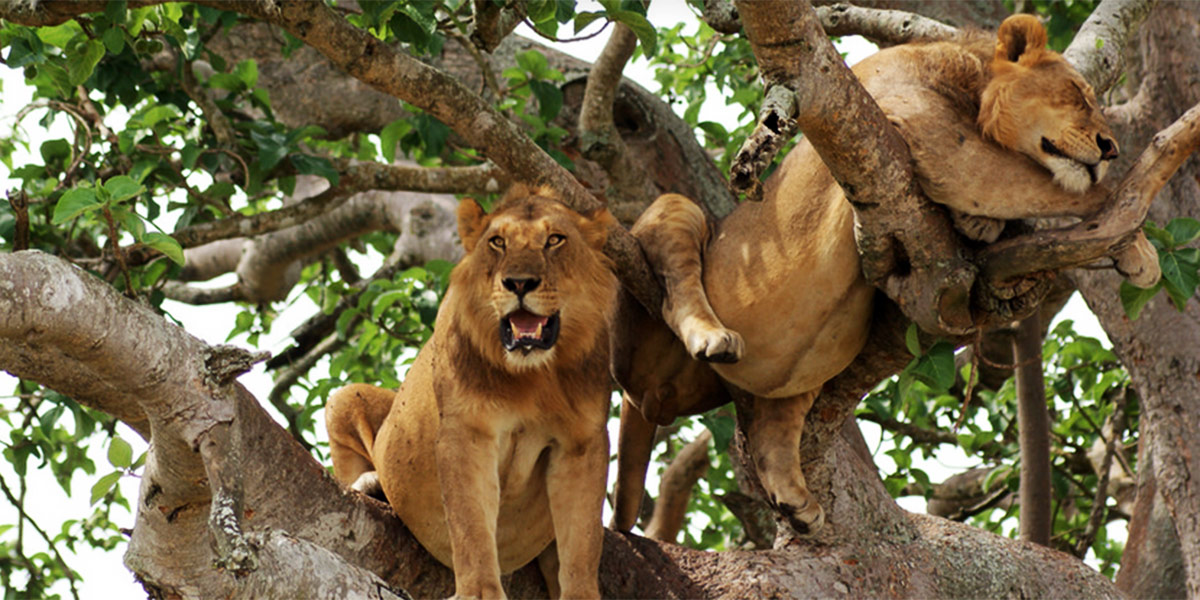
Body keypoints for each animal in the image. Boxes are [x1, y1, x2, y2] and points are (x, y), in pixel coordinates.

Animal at [324, 184, 614, 597]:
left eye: (555, 240)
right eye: (498, 242)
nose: (519, 283)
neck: (534, 376)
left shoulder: (582, 442)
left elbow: (582, 541)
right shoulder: (467, 431)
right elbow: (470, 524)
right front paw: (479, 592)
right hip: (344, 398)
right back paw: (371, 483)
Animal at [614, 15, 1156, 540]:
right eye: (1078, 94)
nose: (1110, 149)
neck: (969, 83)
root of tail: (650, 402)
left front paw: (984, 225)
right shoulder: (924, 129)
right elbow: (1061, 188)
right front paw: (1141, 244)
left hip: (796, 375)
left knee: (771, 427)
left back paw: (795, 503)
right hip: (676, 216)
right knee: (676, 288)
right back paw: (711, 337)